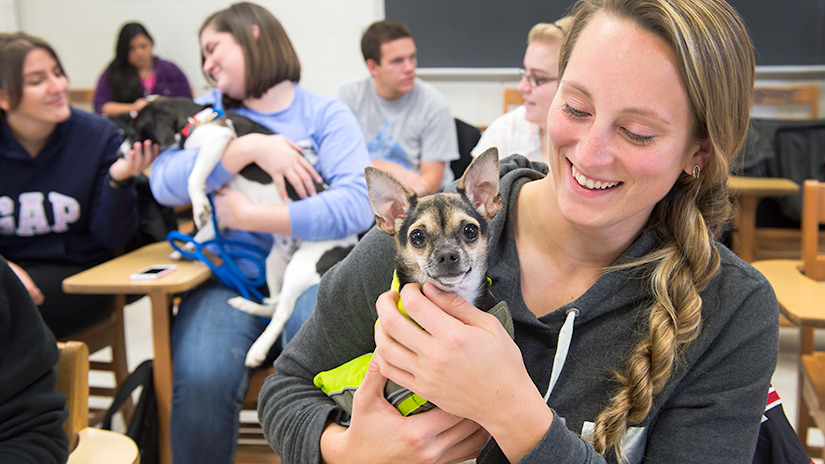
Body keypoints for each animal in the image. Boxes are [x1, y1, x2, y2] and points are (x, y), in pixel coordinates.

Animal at [124, 97, 356, 366]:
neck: (196, 118)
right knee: (273, 305)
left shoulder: (217, 139)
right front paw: (188, 247)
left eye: (133, 131)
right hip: (274, 262)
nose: (121, 152)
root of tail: (352, 244)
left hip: (301, 266)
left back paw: (258, 349)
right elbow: (207, 231)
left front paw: (198, 206)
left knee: (282, 313)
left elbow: (194, 177)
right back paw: (248, 305)